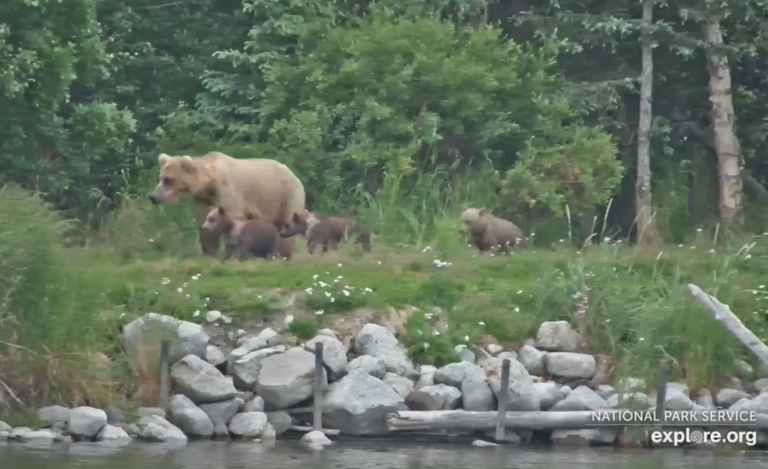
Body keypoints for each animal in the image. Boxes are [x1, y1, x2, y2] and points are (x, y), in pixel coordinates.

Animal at [148, 151, 305, 259]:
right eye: (160, 177)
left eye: (168, 180)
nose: (153, 197)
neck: (209, 183)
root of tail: (293, 173)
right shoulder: (204, 198)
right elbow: (203, 221)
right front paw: (210, 253)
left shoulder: (228, 189)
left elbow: (233, 217)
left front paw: (233, 253)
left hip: (285, 195)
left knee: (286, 222)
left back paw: (283, 254)